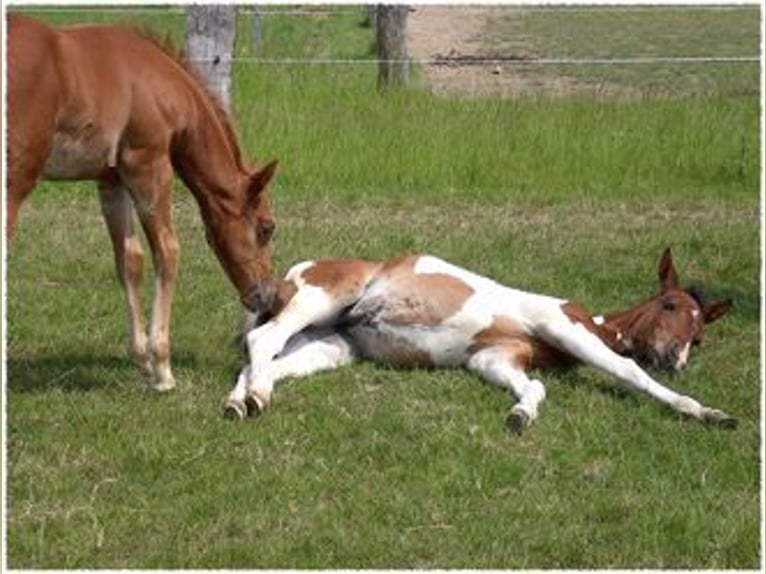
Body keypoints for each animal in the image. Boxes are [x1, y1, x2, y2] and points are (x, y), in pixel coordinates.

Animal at [6, 14, 278, 392]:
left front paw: (143, 361)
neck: (162, 84)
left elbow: (129, 260)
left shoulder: (111, 180)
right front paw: (162, 367)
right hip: (17, 180)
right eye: (267, 227)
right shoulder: (149, 164)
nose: (268, 298)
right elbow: (168, 251)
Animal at [225, 248, 736, 432]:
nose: (673, 360)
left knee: (262, 358)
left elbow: (534, 387)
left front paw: (520, 416)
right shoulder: (559, 326)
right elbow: (627, 370)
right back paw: (256, 397)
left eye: (700, 337)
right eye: (669, 305)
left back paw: (242, 402)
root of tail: (292, 272)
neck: (590, 319)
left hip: (328, 346)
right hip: (320, 300)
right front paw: (709, 412)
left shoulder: (494, 359)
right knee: (263, 340)